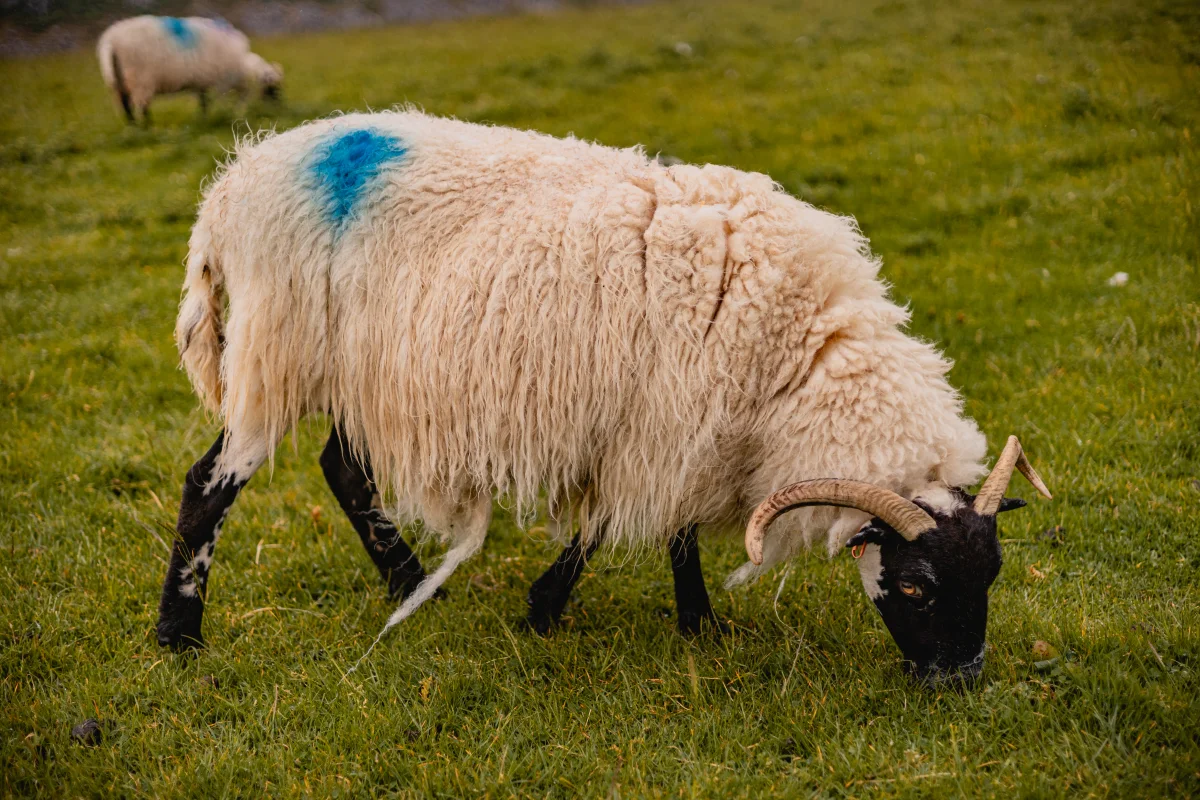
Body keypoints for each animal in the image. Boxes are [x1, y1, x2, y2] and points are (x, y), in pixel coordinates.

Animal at [96, 16, 282, 124]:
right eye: (273, 87)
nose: (280, 108)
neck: (242, 66)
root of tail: (111, 41)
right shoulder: (220, 80)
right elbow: (214, 100)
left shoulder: (203, 81)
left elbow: (203, 101)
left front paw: (204, 118)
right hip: (140, 79)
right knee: (141, 106)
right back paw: (148, 127)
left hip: (118, 80)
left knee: (125, 105)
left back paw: (133, 126)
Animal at [160, 110, 1050, 685]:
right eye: (916, 586)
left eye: (994, 574)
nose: (959, 681)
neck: (800, 352)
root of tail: (231, 184)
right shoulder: (656, 424)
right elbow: (607, 530)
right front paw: (548, 608)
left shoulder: (687, 425)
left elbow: (675, 531)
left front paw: (695, 623)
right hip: (277, 353)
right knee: (210, 484)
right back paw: (179, 635)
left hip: (360, 371)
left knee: (342, 470)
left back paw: (410, 583)